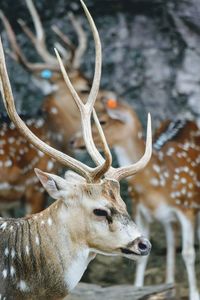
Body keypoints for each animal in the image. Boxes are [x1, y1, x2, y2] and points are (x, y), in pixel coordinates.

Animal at [71, 99, 200, 300]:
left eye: (103, 121)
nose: (72, 141)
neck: (155, 184)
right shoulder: (139, 207)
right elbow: (140, 254)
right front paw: (138, 288)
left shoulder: (186, 207)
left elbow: (188, 253)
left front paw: (194, 294)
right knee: (170, 240)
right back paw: (169, 283)